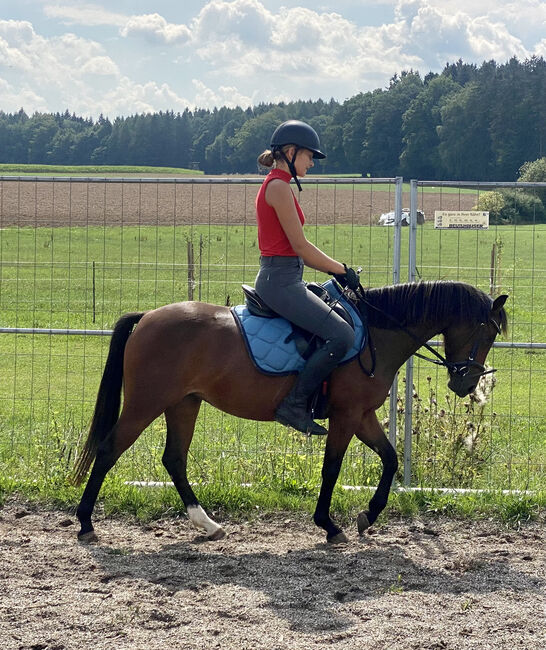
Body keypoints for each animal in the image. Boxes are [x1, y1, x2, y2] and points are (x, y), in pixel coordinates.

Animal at [71, 278, 506, 540]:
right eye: (487, 331)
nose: (467, 384)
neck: (374, 334)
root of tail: (147, 316)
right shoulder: (347, 416)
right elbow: (332, 468)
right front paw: (329, 524)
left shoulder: (363, 415)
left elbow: (390, 458)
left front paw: (369, 514)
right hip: (146, 402)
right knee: (109, 450)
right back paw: (86, 522)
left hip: (183, 403)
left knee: (174, 458)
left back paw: (206, 523)